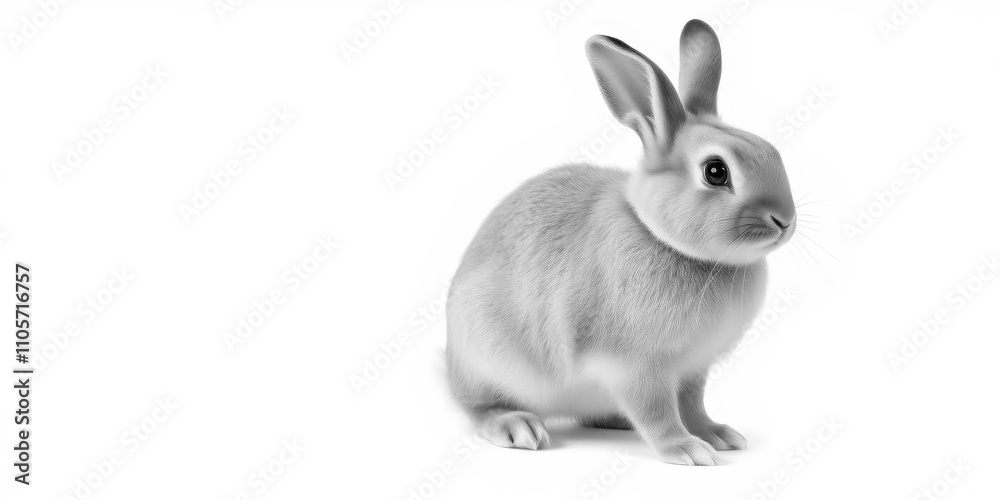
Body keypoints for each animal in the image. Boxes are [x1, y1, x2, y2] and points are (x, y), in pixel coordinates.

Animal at [445, 19, 795, 466]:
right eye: (716, 172)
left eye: (772, 151)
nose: (784, 221)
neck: (666, 240)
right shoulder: (634, 367)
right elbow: (657, 410)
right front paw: (686, 450)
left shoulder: (693, 370)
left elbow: (692, 405)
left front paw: (717, 435)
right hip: (489, 359)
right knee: (480, 405)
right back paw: (518, 426)